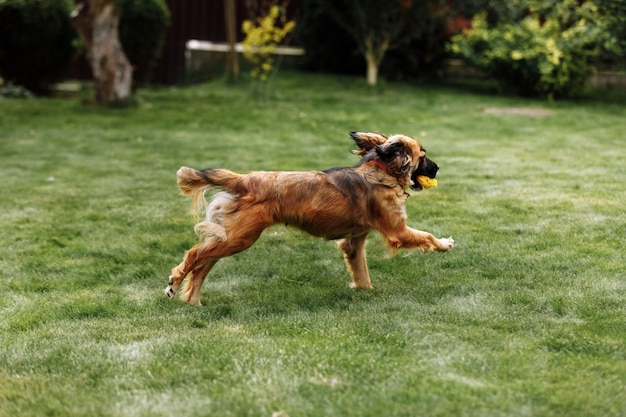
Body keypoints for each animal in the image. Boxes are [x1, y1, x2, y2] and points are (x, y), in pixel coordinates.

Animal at [166, 132, 454, 304]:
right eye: (423, 156)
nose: (439, 168)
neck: (381, 170)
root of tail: (245, 179)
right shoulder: (397, 230)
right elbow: (426, 236)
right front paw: (445, 244)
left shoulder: (354, 241)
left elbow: (361, 270)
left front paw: (365, 290)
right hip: (239, 237)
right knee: (194, 255)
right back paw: (174, 283)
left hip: (229, 235)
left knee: (202, 263)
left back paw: (192, 299)